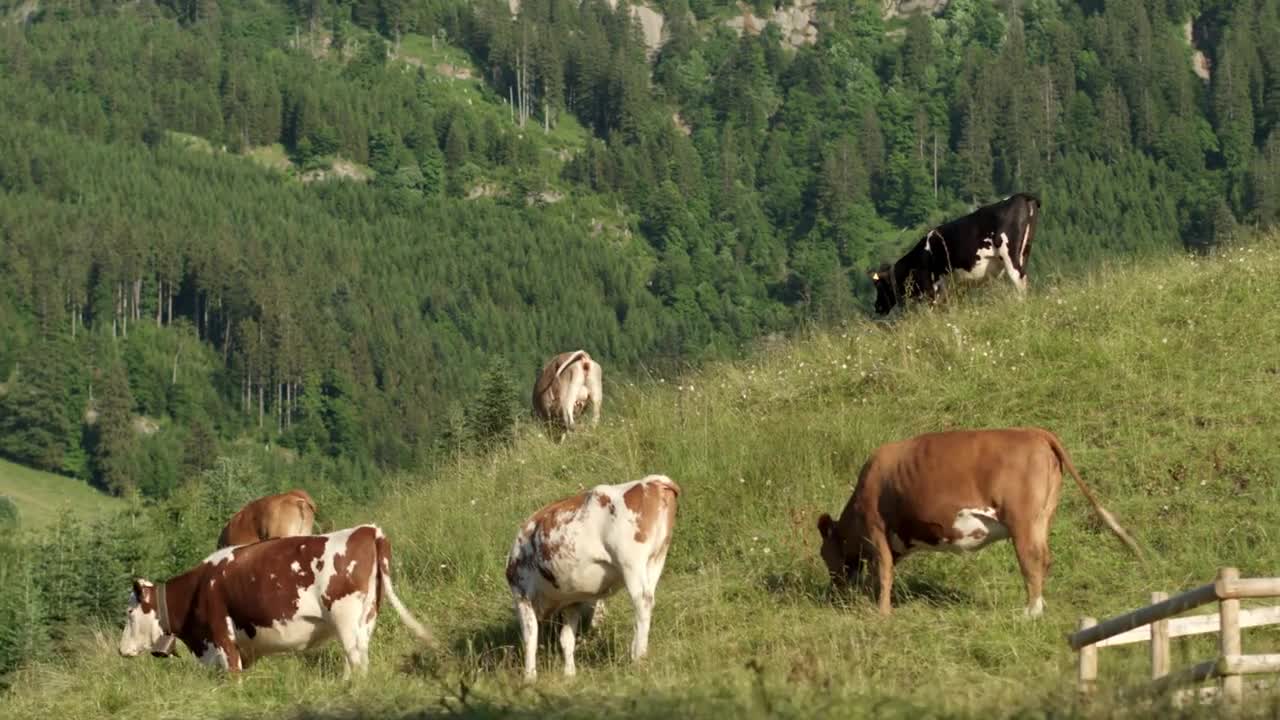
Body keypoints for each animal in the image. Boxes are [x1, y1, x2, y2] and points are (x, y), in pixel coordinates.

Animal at [117, 520, 435, 671]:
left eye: (129, 612)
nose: (121, 650)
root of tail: (367, 530)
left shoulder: (222, 636)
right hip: (367, 617)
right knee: (359, 657)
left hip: (345, 616)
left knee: (355, 658)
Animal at [504, 474, 680, 676]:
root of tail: (653, 481)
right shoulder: (571, 600)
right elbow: (566, 639)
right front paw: (570, 674)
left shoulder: (522, 593)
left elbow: (530, 638)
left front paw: (529, 677)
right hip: (656, 559)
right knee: (649, 598)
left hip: (631, 562)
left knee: (642, 601)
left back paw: (638, 657)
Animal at [814, 425, 1146, 617]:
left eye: (823, 553)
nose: (834, 591)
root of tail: (1034, 432)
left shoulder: (876, 529)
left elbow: (883, 573)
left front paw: (882, 614)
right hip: (1041, 519)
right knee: (1045, 559)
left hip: (1022, 522)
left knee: (1031, 560)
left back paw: (1031, 612)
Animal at [870, 192, 1039, 312]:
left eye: (879, 286)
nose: (876, 307)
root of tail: (1021, 196)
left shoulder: (930, 291)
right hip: (1024, 252)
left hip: (1011, 256)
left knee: (1019, 282)